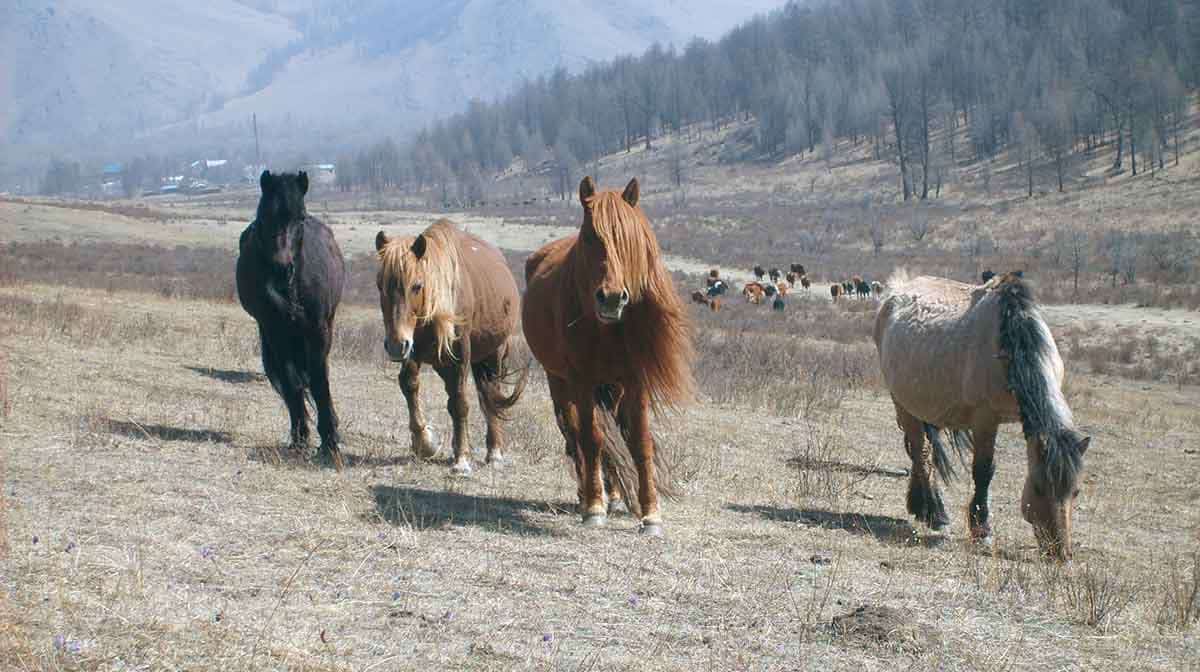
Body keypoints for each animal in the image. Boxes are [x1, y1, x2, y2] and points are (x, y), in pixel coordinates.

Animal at [235, 170, 345, 465]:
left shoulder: (318, 331)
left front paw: (330, 441)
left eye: (301, 217)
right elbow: (292, 383)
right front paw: (300, 438)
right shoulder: (276, 333)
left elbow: (319, 382)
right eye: (263, 215)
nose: (282, 269)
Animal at [374, 218, 525, 475]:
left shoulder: (459, 356)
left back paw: (494, 452)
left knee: (490, 396)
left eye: (417, 285)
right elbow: (409, 385)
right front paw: (424, 442)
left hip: (492, 355)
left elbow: (460, 402)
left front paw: (462, 460)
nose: (395, 345)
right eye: (380, 286)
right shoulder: (413, 351)